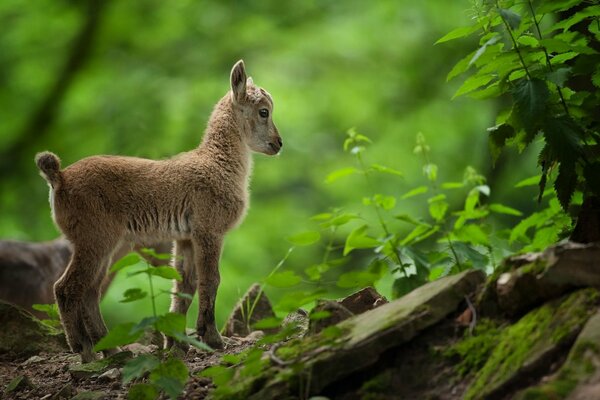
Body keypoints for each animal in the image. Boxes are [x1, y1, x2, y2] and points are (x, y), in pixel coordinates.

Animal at [35, 60, 282, 362]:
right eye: (264, 111)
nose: (278, 144)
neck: (218, 164)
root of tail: (59, 179)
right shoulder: (209, 230)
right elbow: (210, 280)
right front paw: (212, 339)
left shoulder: (185, 237)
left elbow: (184, 286)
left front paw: (177, 342)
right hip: (94, 238)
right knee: (67, 288)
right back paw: (84, 350)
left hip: (108, 245)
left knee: (91, 290)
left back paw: (113, 349)